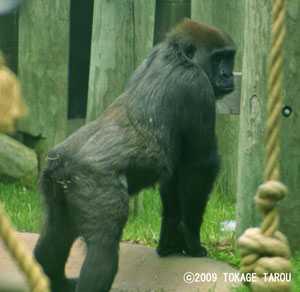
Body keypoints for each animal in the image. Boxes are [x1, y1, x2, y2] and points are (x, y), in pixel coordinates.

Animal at [34, 18, 237, 292]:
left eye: (229, 57)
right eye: (218, 59)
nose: (228, 75)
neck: (177, 55)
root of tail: (61, 163)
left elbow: (175, 180)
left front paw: (170, 239)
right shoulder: (198, 86)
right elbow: (200, 166)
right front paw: (192, 239)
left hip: (55, 184)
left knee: (57, 233)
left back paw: (57, 280)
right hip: (93, 185)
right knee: (102, 250)